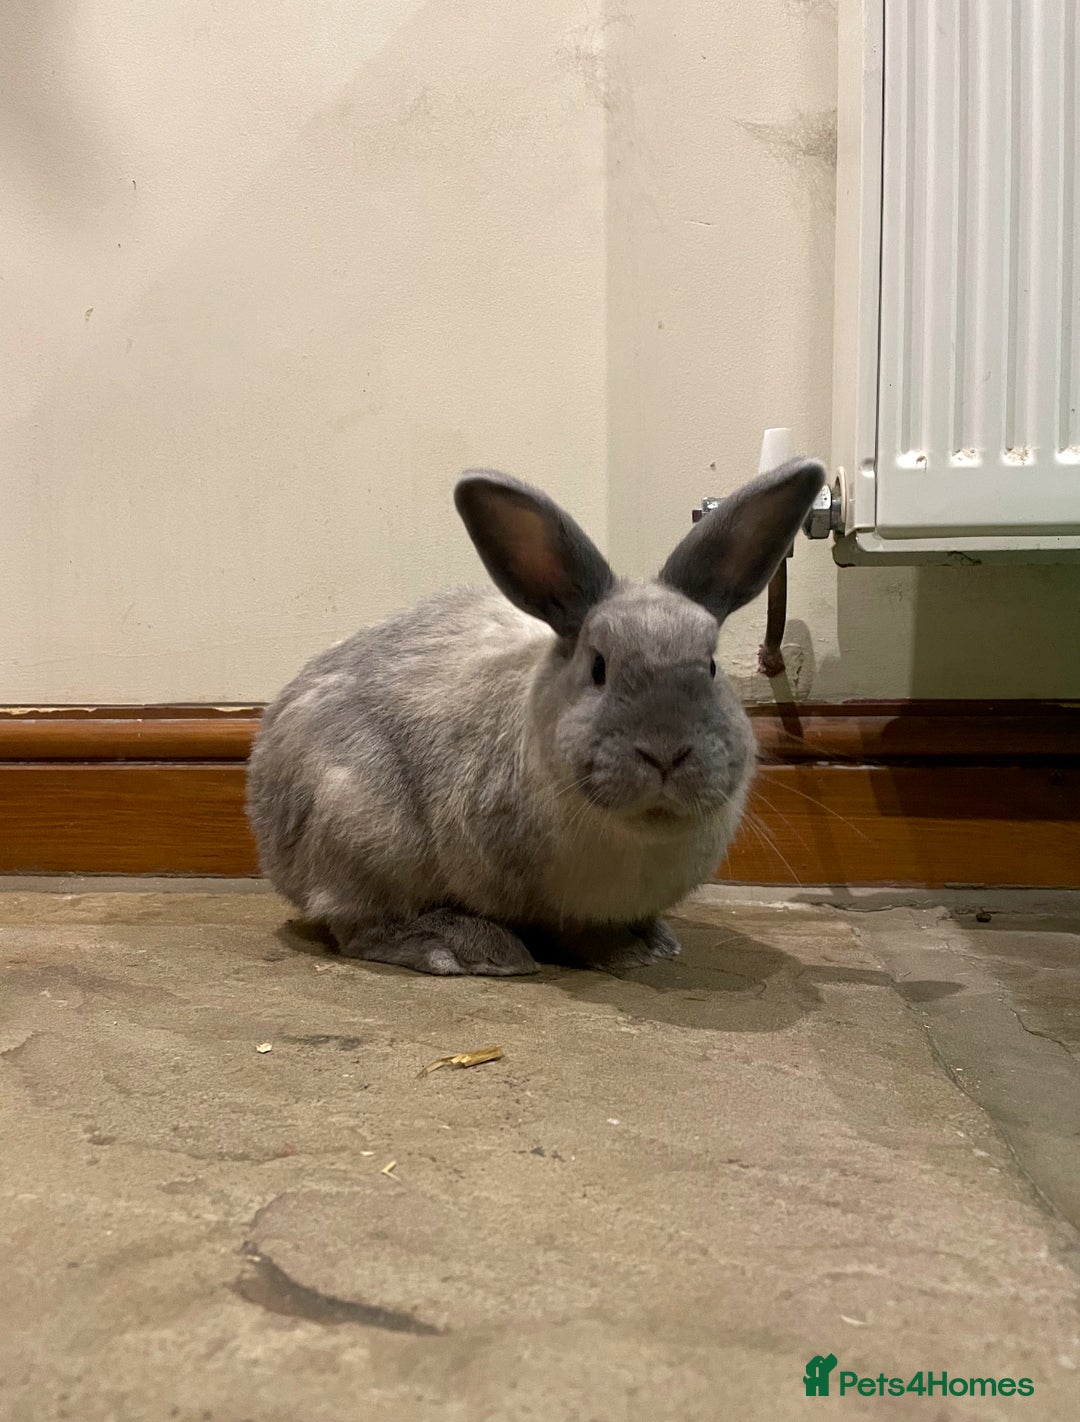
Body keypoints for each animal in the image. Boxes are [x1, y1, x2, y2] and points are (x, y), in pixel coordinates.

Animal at [247, 456, 824, 975]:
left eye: (711, 666)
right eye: (598, 667)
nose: (666, 752)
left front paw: (651, 944)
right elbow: (573, 932)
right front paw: (625, 953)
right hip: (361, 833)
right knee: (359, 926)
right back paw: (466, 949)